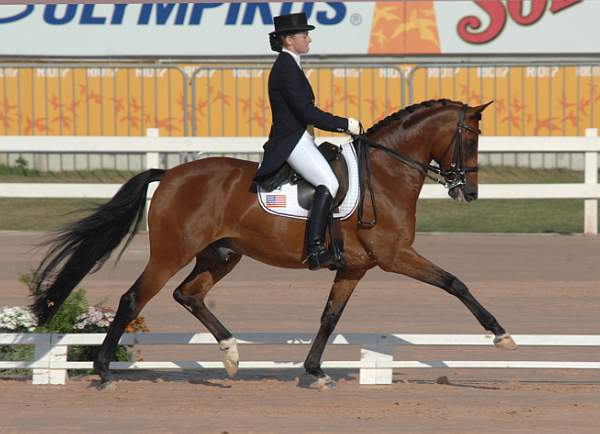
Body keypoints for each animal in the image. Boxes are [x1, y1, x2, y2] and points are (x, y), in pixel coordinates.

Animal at [29, 98, 516, 390]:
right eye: (469, 138)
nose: (469, 193)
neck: (386, 173)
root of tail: (169, 174)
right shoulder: (396, 257)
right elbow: (454, 283)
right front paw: (501, 335)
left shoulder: (354, 267)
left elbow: (329, 318)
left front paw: (314, 372)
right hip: (172, 253)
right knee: (134, 299)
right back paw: (103, 370)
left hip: (222, 254)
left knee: (188, 294)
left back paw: (230, 355)